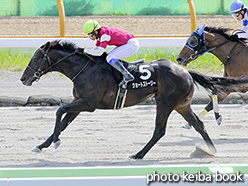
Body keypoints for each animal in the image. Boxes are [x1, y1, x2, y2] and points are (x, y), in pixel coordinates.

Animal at [20, 40, 248, 159]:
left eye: (36, 58)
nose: (23, 78)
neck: (84, 69)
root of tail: (185, 71)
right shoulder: (80, 103)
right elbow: (64, 121)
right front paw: (42, 145)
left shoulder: (88, 104)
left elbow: (59, 111)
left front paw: (55, 142)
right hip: (182, 104)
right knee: (199, 124)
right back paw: (211, 150)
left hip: (165, 102)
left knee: (159, 130)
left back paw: (138, 154)